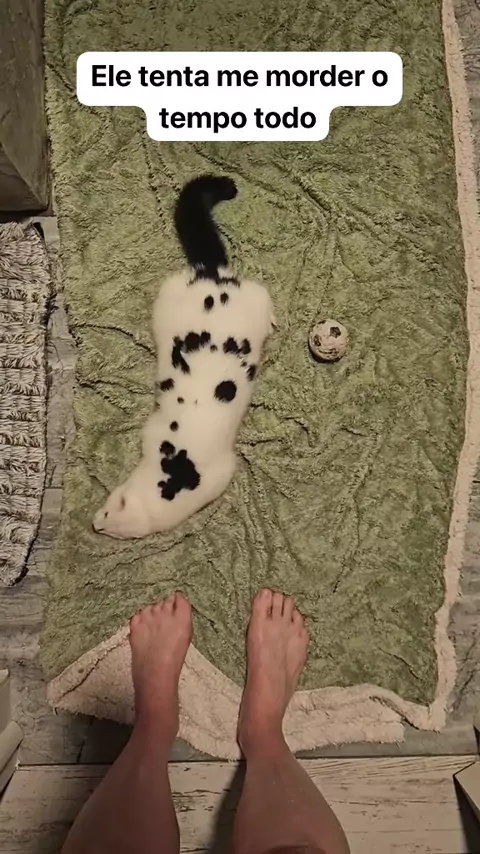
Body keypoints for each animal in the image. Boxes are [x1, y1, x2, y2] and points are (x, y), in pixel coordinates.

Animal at [93, 175, 275, 539]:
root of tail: (213, 275)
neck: (178, 471)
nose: (94, 524)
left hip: (249, 299)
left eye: (108, 519)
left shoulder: (221, 470)